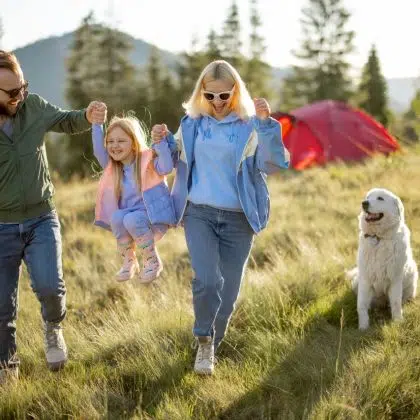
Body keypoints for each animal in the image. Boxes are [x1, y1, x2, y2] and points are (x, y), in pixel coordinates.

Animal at [352, 189, 416, 330]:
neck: (379, 238)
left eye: (380, 198)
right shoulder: (365, 280)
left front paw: (398, 322)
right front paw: (363, 327)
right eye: (368, 197)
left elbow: (396, 303)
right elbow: (361, 306)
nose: (364, 203)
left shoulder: (395, 279)